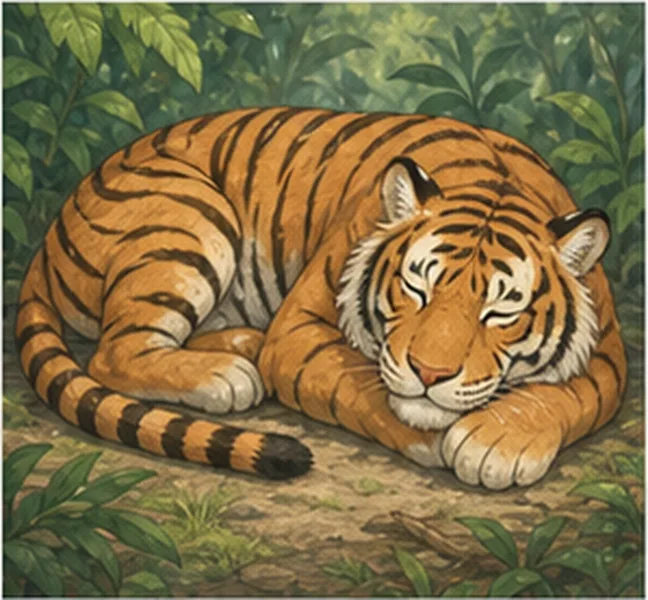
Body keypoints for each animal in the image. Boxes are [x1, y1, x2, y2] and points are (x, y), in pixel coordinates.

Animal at [15, 107, 626, 489]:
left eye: (500, 311)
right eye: (416, 287)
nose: (430, 373)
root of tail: (45, 237)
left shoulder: (607, 356)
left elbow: (567, 396)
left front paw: (498, 442)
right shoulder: (301, 329)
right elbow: (366, 388)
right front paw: (442, 435)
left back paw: (240, 344)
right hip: (185, 218)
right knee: (114, 352)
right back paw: (226, 373)